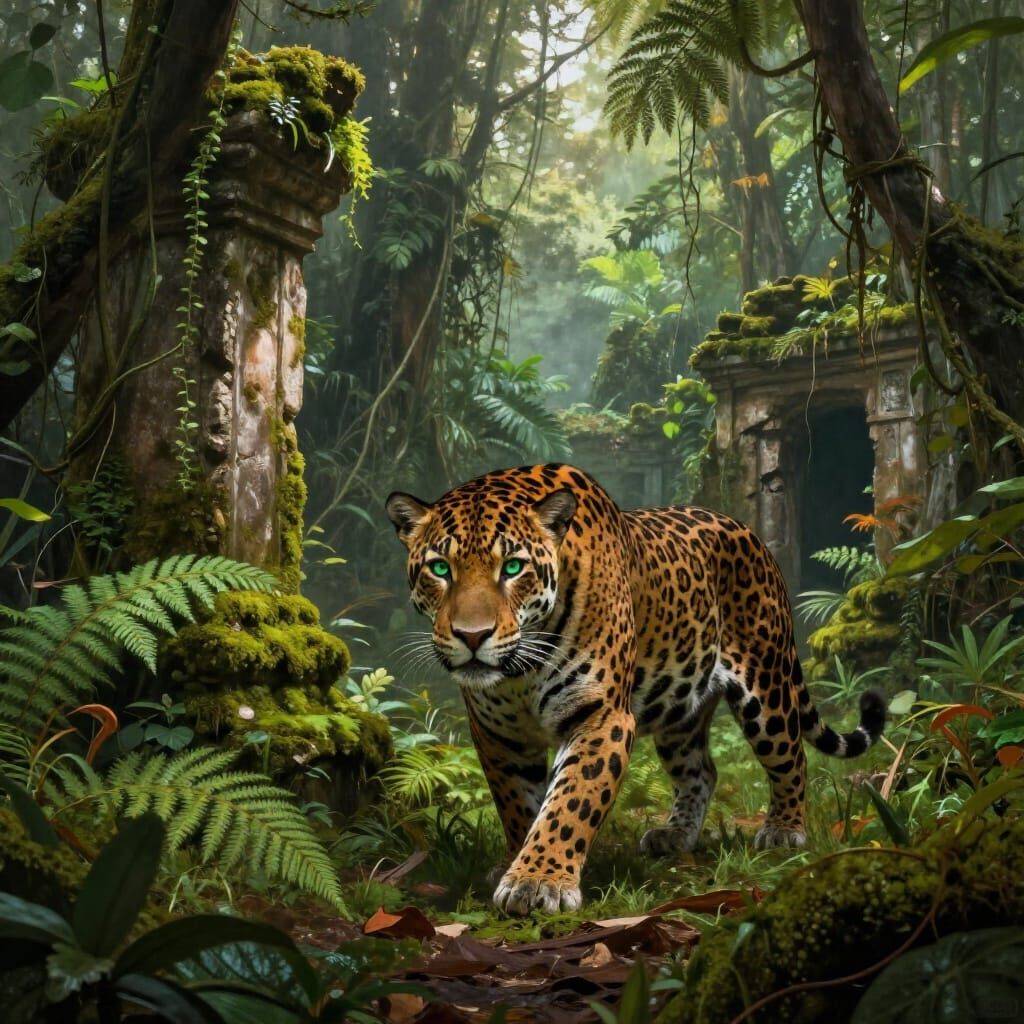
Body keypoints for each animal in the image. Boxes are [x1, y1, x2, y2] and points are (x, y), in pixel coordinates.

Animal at [385, 463, 886, 916]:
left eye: (512, 568)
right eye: (439, 568)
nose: (472, 636)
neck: (519, 672)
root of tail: (748, 530)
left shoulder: (600, 717)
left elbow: (569, 804)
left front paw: (539, 880)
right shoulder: (498, 733)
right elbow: (517, 805)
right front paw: (517, 861)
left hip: (767, 684)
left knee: (792, 756)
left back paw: (784, 830)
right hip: (680, 708)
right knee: (701, 769)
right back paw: (675, 834)